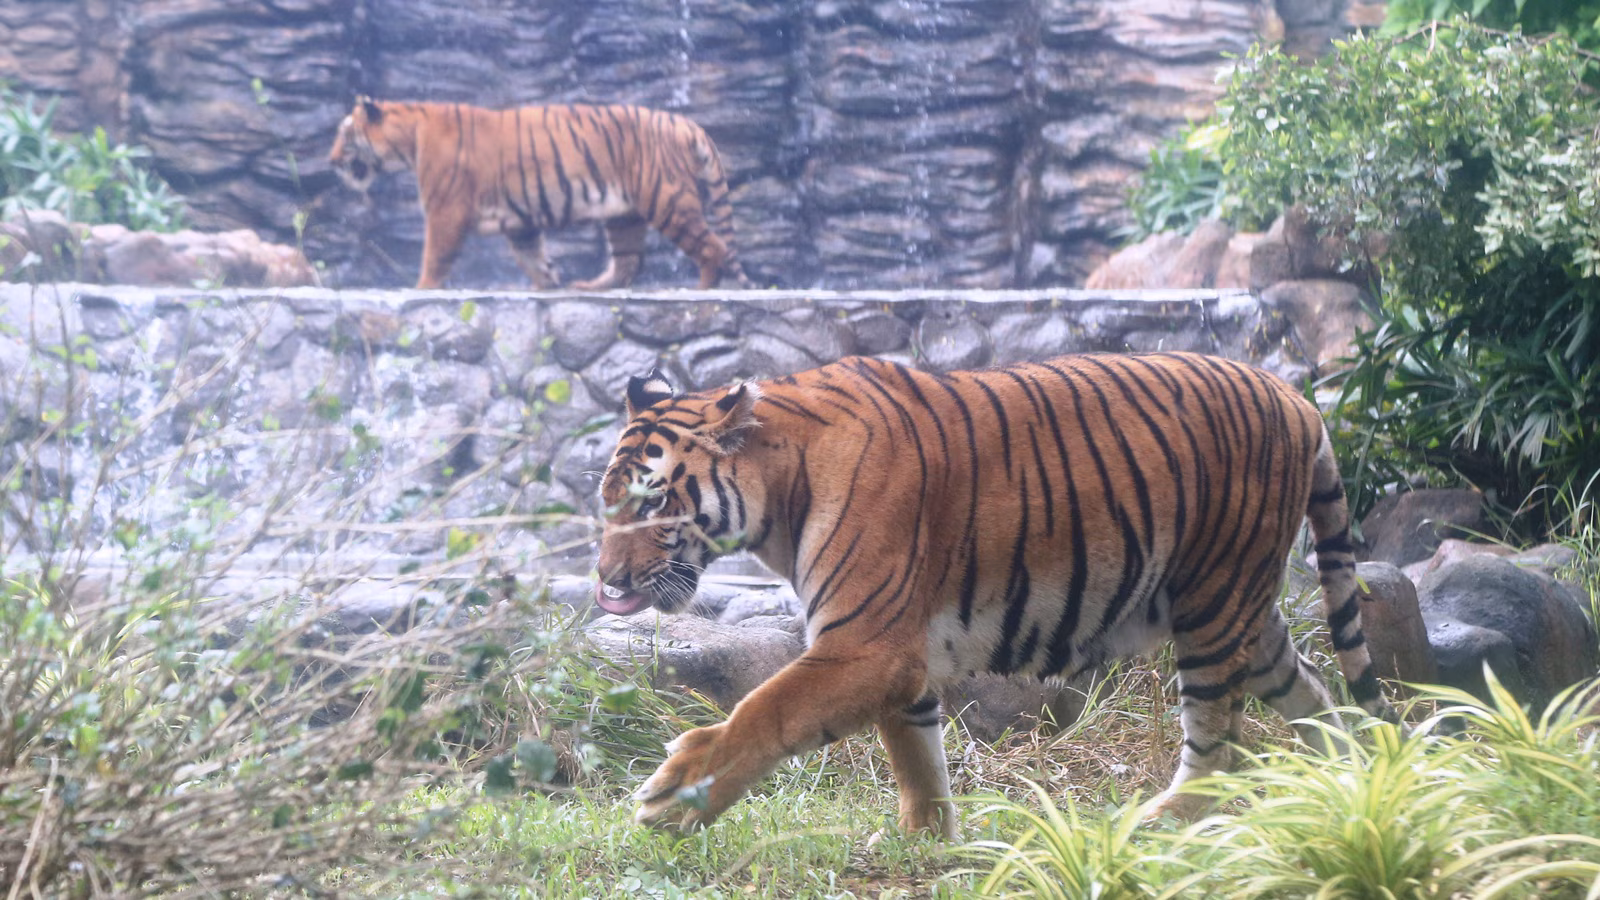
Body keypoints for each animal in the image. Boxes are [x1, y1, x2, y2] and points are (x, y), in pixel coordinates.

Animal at [328, 97, 750, 291]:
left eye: (344, 135)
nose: (330, 161)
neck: (408, 137)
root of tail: (683, 121)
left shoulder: (445, 209)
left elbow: (435, 255)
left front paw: (422, 289)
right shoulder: (521, 222)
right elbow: (531, 256)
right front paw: (548, 283)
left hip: (666, 198)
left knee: (712, 246)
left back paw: (702, 290)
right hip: (623, 213)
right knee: (629, 261)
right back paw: (589, 286)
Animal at [593, 351, 1398, 837]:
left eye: (652, 501)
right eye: (606, 502)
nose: (606, 584)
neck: (779, 489)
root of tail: (1297, 398)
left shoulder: (868, 643)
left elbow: (767, 710)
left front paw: (675, 795)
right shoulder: (900, 653)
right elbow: (915, 752)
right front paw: (928, 841)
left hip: (1215, 605)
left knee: (1219, 740)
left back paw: (1162, 820)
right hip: (1244, 613)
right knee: (1313, 691)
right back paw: (1347, 786)